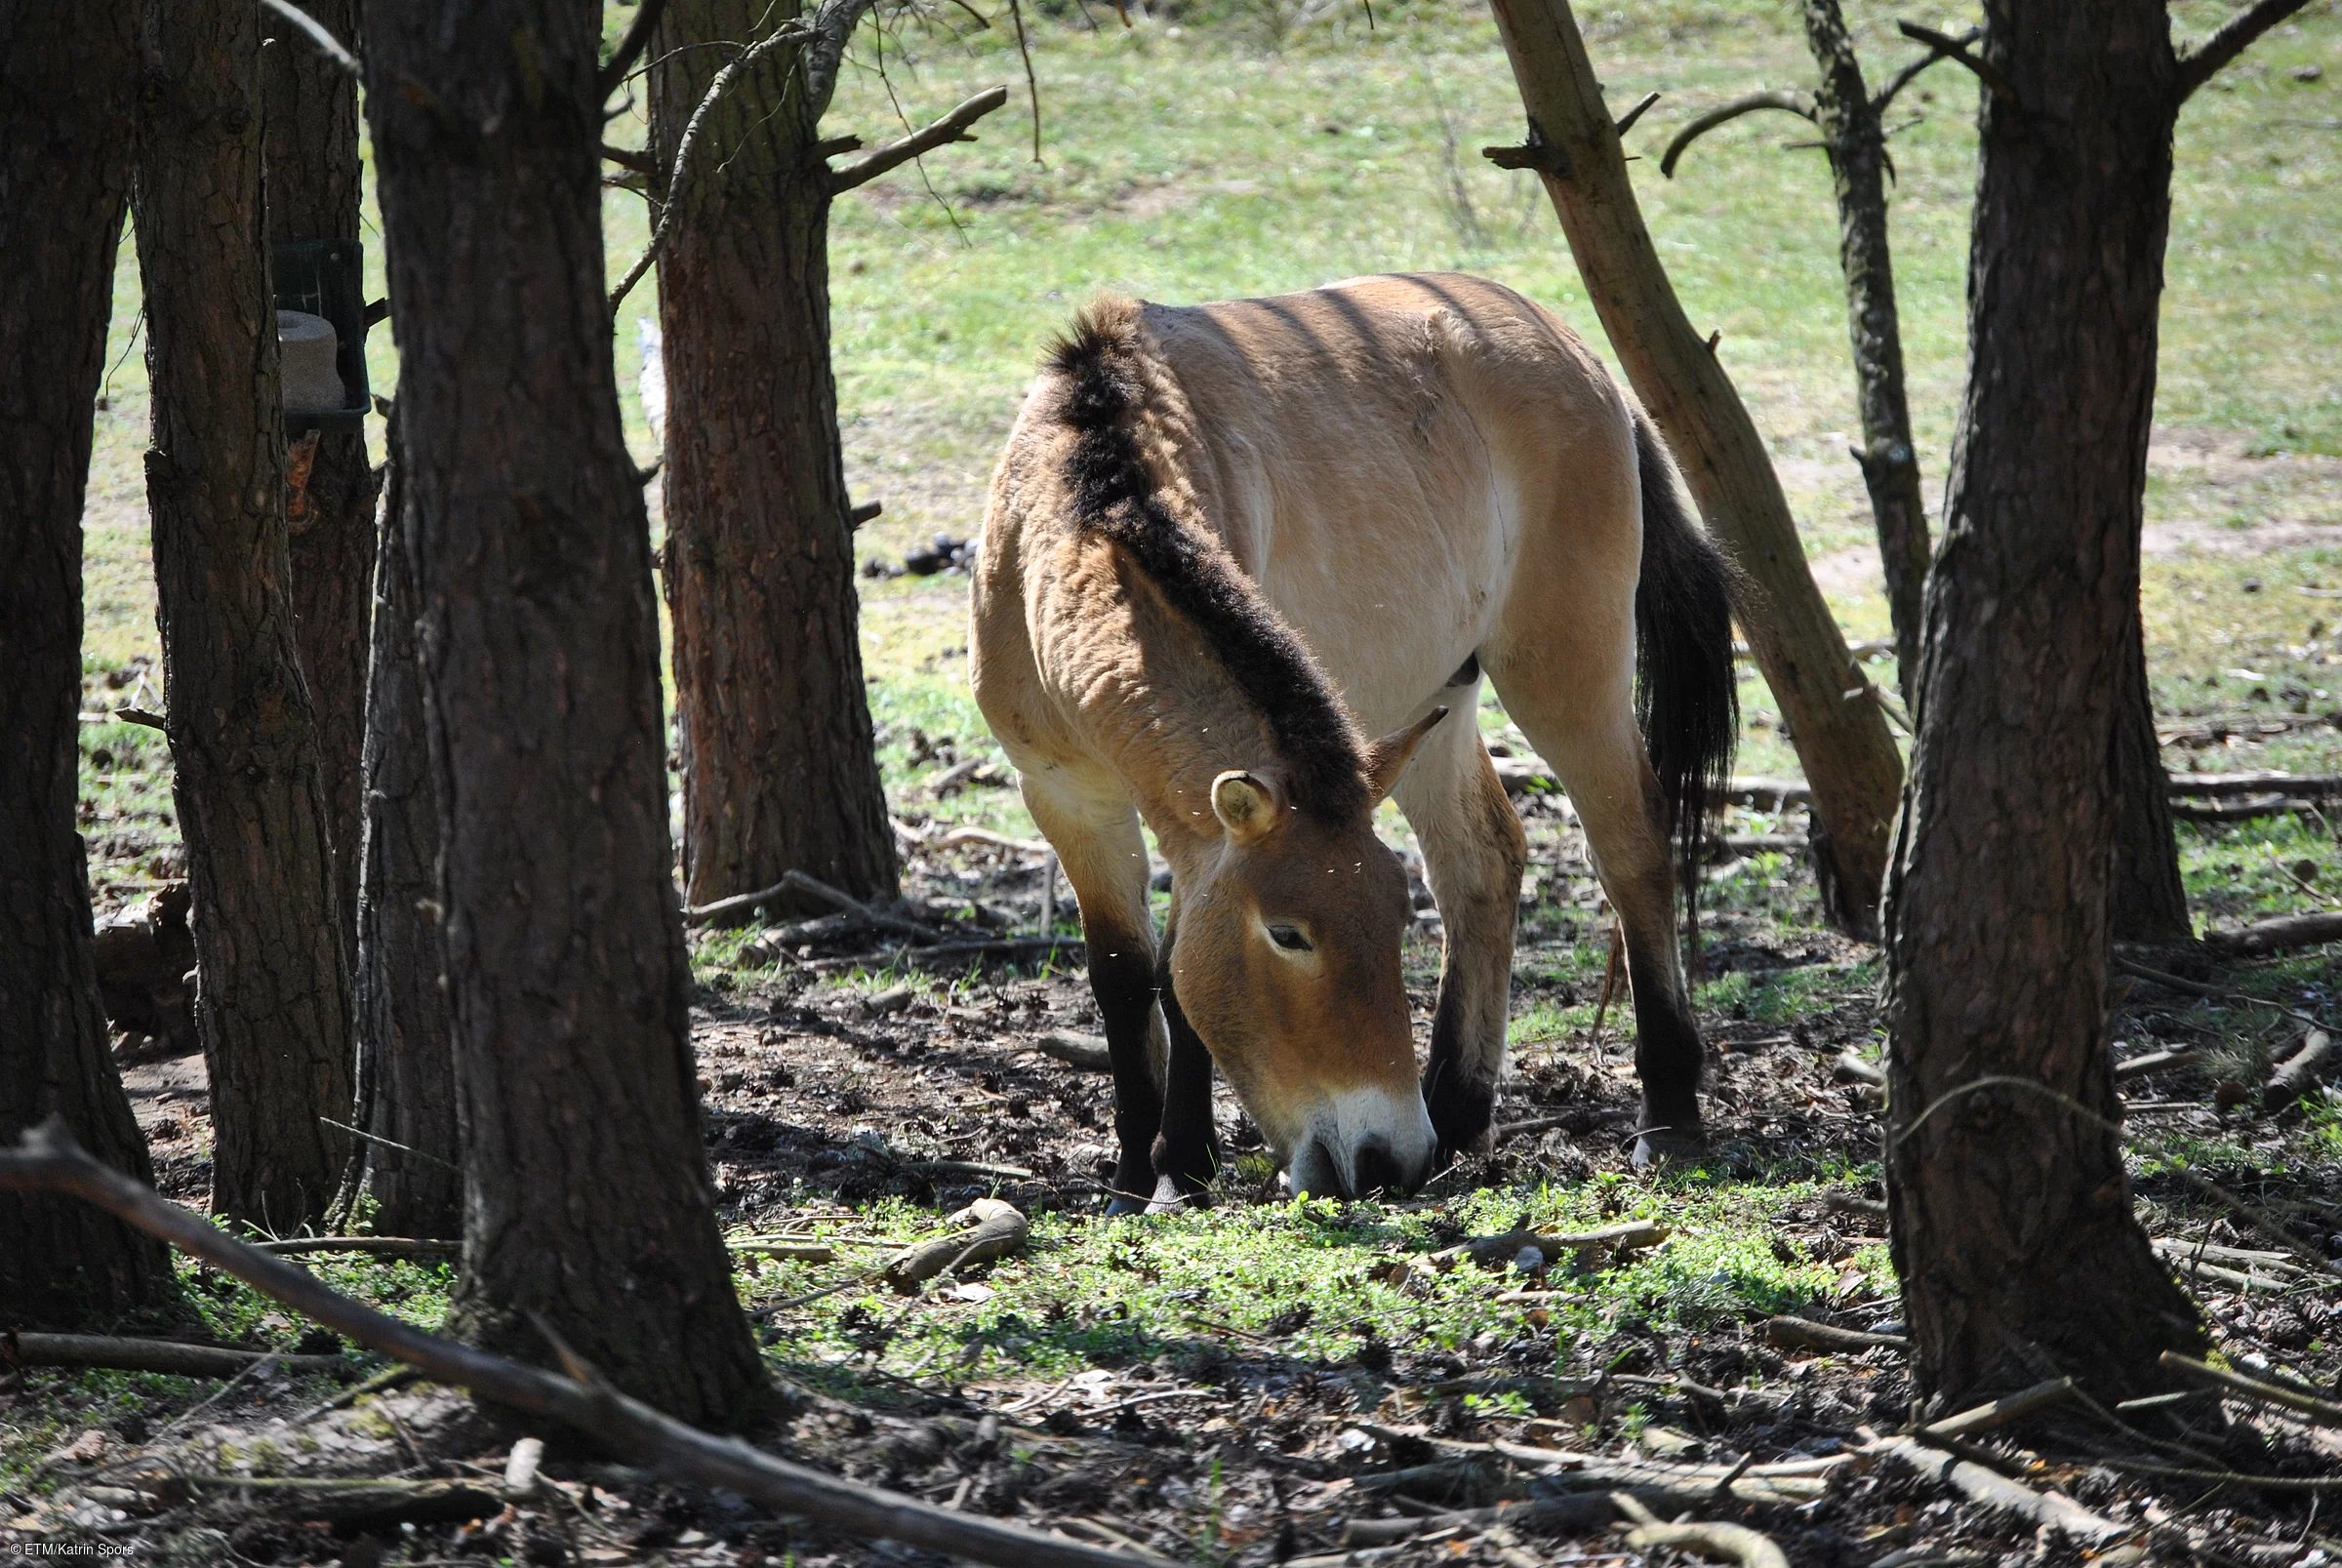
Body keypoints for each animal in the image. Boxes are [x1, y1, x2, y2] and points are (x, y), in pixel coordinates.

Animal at [969, 273, 1742, 1217]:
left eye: (1389, 919)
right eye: (1291, 934)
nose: (1386, 1156)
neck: (1080, 496)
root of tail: (1583, 360)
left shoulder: (1193, 833)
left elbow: (1176, 983)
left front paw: (1180, 1167)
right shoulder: (1066, 797)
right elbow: (1123, 975)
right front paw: (1132, 1171)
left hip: (1567, 674)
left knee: (1631, 849)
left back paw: (1665, 1113)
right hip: (1435, 702)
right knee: (1485, 861)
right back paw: (1458, 1114)